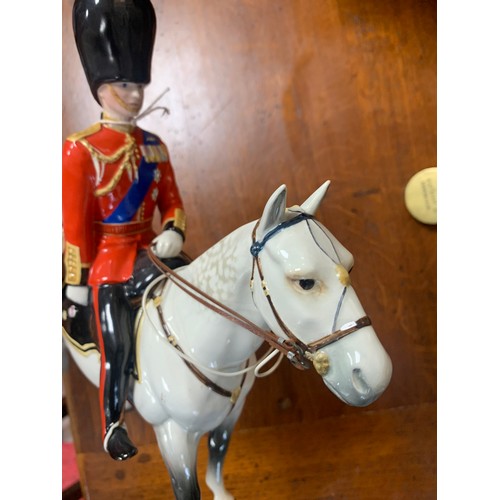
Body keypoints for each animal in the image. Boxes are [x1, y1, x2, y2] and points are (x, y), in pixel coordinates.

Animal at [61, 183, 390, 500]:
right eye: (305, 282)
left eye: (349, 266)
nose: (376, 376)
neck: (198, 346)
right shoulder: (172, 435)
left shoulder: (228, 419)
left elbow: (216, 477)